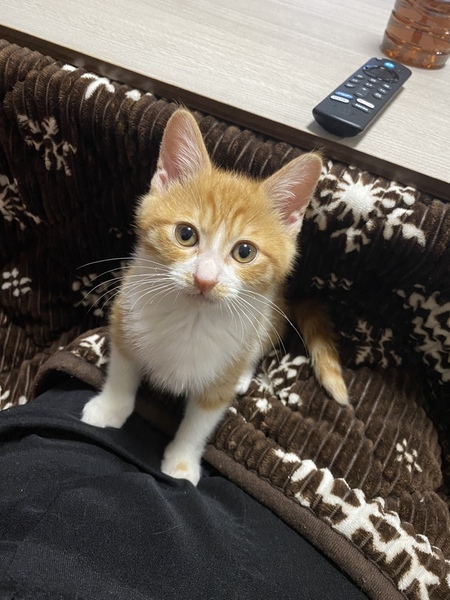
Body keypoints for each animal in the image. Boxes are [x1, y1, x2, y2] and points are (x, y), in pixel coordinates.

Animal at [81, 108, 348, 485]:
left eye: (245, 252)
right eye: (185, 234)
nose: (204, 279)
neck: (191, 319)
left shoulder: (222, 372)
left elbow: (202, 421)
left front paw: (182, 463)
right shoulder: (125, 316)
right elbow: (123, 370)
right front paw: (110, 408)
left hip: (267, 315)